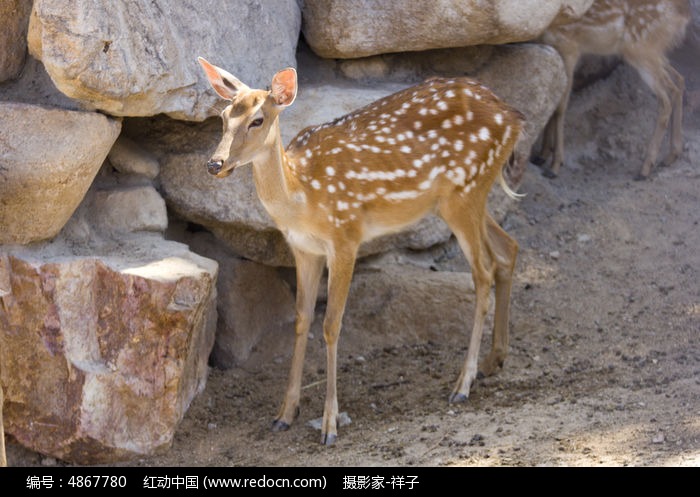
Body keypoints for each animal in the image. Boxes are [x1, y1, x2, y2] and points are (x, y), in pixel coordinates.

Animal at [200, 56, 524, 444]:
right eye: (222, 117)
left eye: (257, 120)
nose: (215, 164)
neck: (302, 196)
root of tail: (513, 117)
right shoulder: (303, 249)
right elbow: (301, 319)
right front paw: (285, 413)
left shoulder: (346, 236)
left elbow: (331, 324)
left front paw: (329, 424)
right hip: (462, 197)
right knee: (507, 249)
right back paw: (494, 360)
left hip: (465, 190)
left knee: (483, 271)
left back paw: (463, 383)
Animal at [536, 0, 688, 178]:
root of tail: (683, 15)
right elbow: (552, 99)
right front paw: (542, 154)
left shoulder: (569, 45)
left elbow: (560, 107)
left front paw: (555, 165)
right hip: (652, 50)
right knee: (678, 82)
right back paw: (671, 155)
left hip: (640, 48)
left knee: (665, 100)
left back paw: (645, 169)